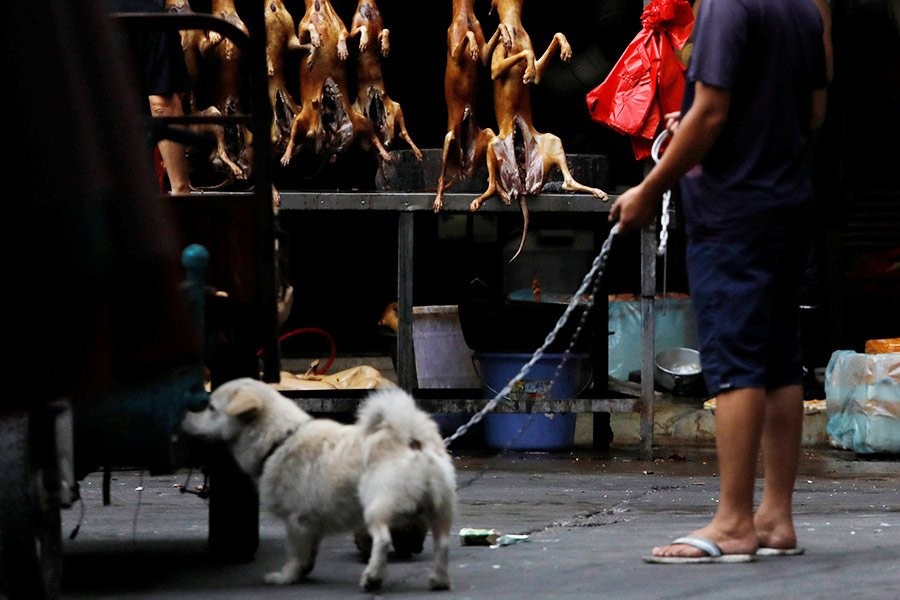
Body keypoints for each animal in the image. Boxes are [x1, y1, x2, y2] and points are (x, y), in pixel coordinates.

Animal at [181, 378, 458, 592]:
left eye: (210, 407)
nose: (183, 417)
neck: (279, 440)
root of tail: (411, 439)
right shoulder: (311, 525)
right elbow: (308, 554)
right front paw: (303, 571)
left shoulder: (296, 521)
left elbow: (294, 553)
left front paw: (286, 577)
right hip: (440, 511)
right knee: (443, 544)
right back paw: (439, 580)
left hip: (376, 506)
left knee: (382, 540)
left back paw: (372, 578)